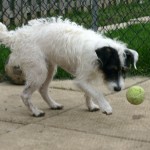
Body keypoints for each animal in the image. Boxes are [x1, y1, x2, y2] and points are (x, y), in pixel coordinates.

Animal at [0, 17, 138, 116]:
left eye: (125, 70)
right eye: (112, 69)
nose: (118, 89)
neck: (96, 55)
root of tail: (17, 36)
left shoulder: (87, 79)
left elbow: (89, 93)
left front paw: (90, 106)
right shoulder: (81, 80)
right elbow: (96, 92)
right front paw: (106, 107)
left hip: (49, 69)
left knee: (43, 89)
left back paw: (53, 105)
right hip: (39, 71)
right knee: (25, 95)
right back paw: (36, 112)